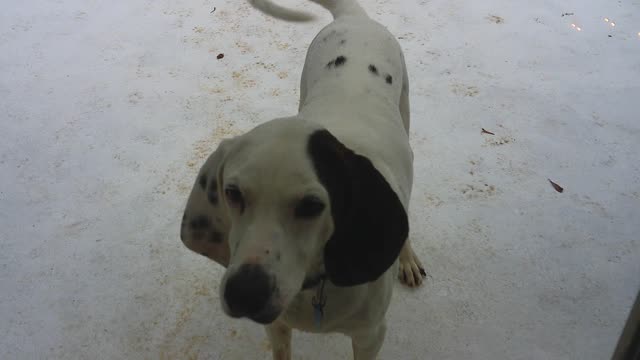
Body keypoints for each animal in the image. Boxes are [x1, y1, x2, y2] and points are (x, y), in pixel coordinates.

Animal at [179, 1, 424, 358]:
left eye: (312, 205)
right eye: (232, 193)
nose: (244, 294)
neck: (316, 285)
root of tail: (354, 18)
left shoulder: (371, 335)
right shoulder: (277, 327)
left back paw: (406, 258)